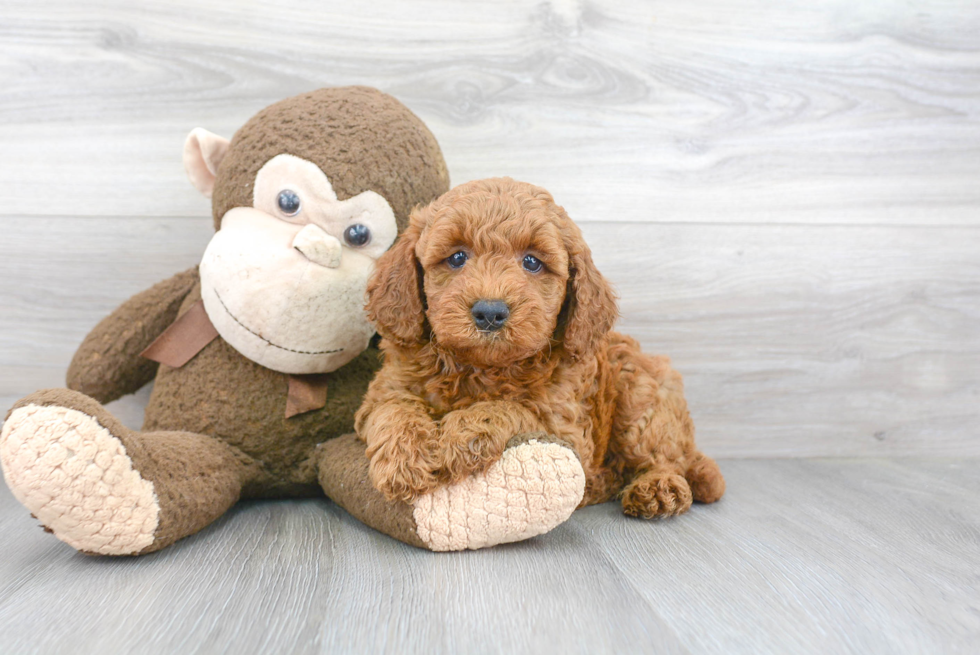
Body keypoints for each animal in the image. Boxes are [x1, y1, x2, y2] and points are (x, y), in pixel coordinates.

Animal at [356, 177, 724, 520]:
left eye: (532, 262)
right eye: (457, 257)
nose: (490, 312)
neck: (481, 368)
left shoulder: (563, 424)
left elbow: (509, 409)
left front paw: (458, 438)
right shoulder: (385, 390)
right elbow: (394, 409)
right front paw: (405, 462)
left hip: (640, 399)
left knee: (664, 458)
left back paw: (657, 488)